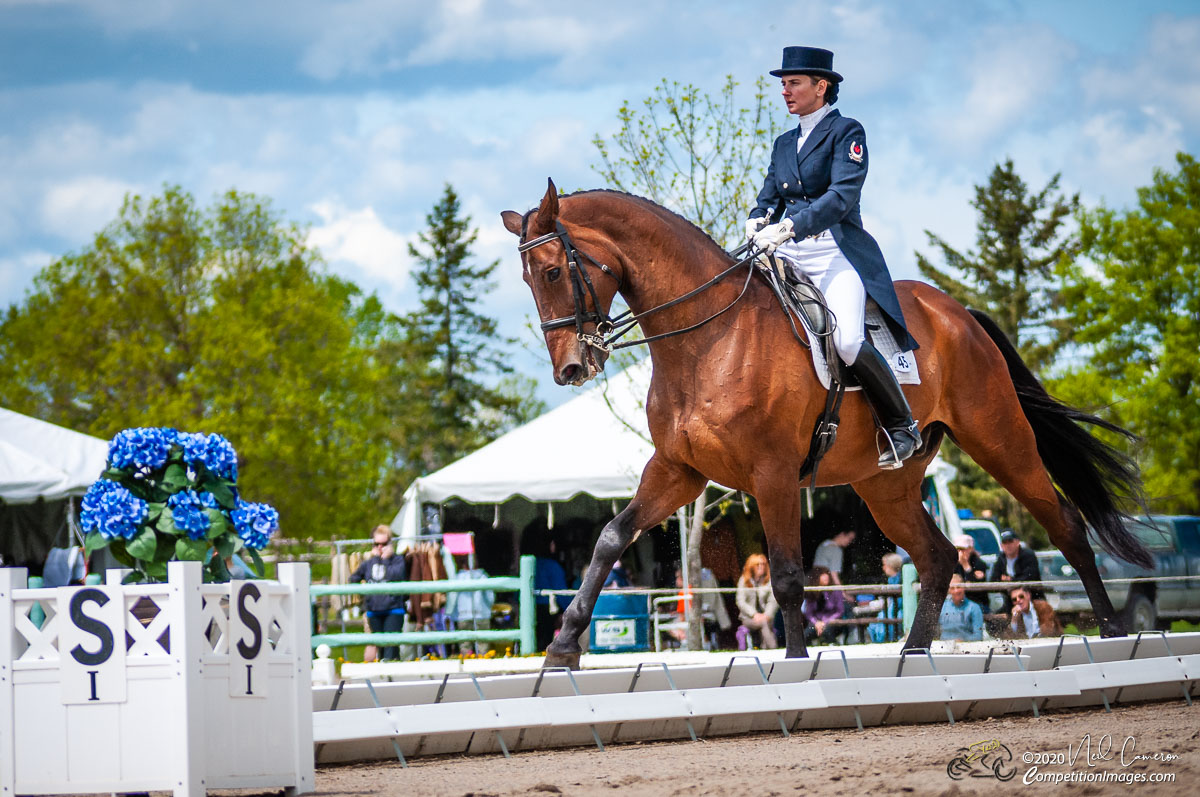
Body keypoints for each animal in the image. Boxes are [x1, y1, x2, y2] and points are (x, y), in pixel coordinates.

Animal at [499, 178, 1152, 667]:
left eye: (553, 272)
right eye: (527, 280)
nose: (571, 368)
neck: (708, 337)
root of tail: (958, 312)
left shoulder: (772, 472)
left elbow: (788, 575)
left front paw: (792, 664)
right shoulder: (678, 470)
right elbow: (612, 537)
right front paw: (563, 647)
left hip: (999, 439)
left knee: (1064, 523)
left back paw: (1112, 634)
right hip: (886, 484)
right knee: (938, 556)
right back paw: (913, 654)